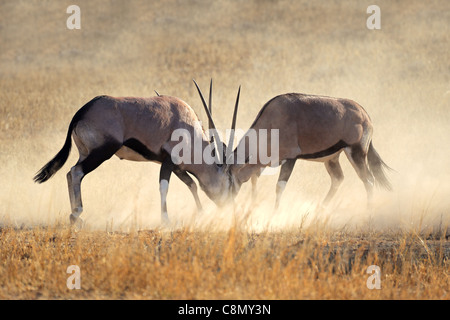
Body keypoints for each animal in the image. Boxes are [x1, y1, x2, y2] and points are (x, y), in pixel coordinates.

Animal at [34, 81, 243, 226]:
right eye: (230, 181)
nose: (228, 206)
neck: (192, 132)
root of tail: (82, 111)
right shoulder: (169, 161)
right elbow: (164, 186)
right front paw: (166, 219)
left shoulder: (177, 166)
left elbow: (191, 184)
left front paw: (201, 213)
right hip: (101, 152)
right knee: (76, 172)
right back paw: (76, 213)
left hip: (86, 153)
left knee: (70, 173)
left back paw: (75, 215)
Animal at [229, 92, 390, 210]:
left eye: (230, 177)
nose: (226, 200)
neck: (273, 119)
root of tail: (364, 114)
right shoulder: (264, 162)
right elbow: (254, 179)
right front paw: (252, 207)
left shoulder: (290, 158)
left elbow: (279, 186)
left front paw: (274, 214)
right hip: (332, 158)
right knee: (338, 178)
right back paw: (320, 209)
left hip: (356, 152)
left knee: (368, 179)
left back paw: (368, 212)